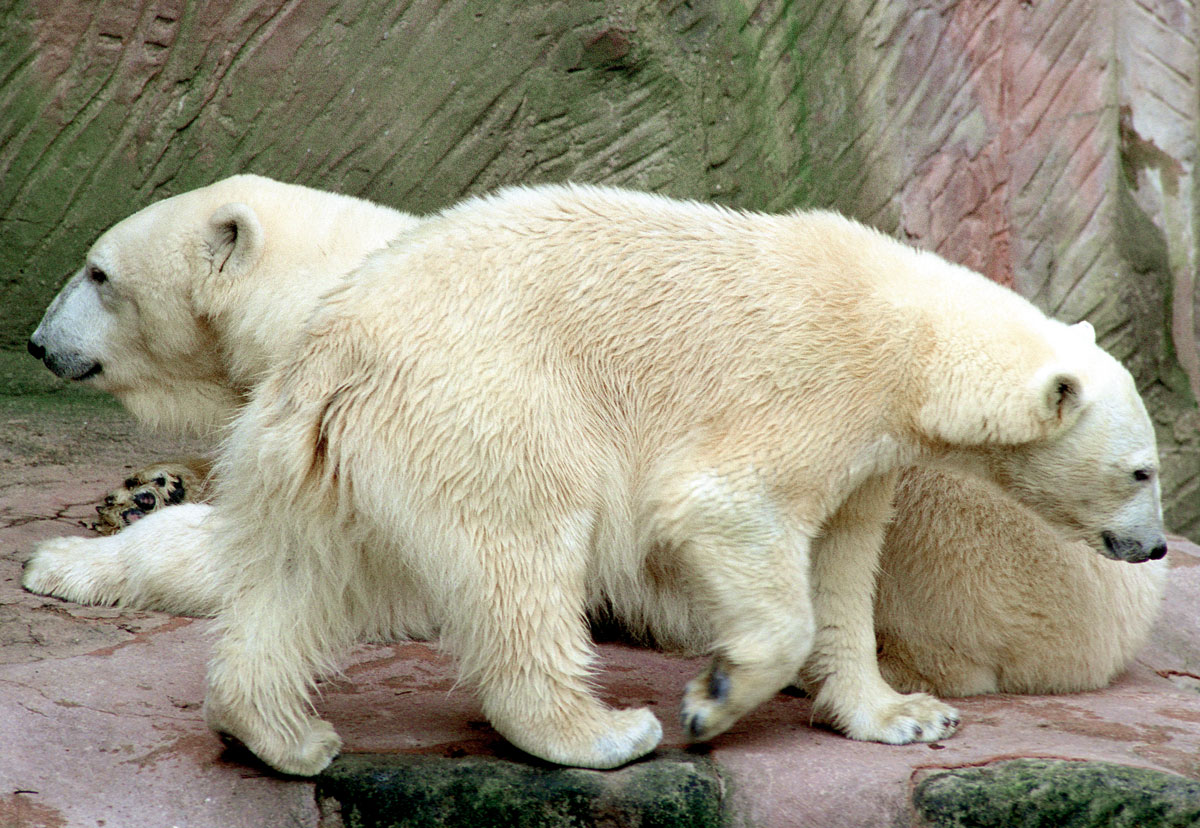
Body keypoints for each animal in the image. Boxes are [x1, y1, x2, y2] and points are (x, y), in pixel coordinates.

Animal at [18, 175, 1161, 772]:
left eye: (97, 274)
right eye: (1144, 470)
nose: (1151, 543)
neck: (900, 328)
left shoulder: (852, 439)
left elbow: (826, 562)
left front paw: (891, 711)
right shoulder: (820, 390)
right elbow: (744, 519)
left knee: (451, 559)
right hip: (472, 404)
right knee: (496, 553)